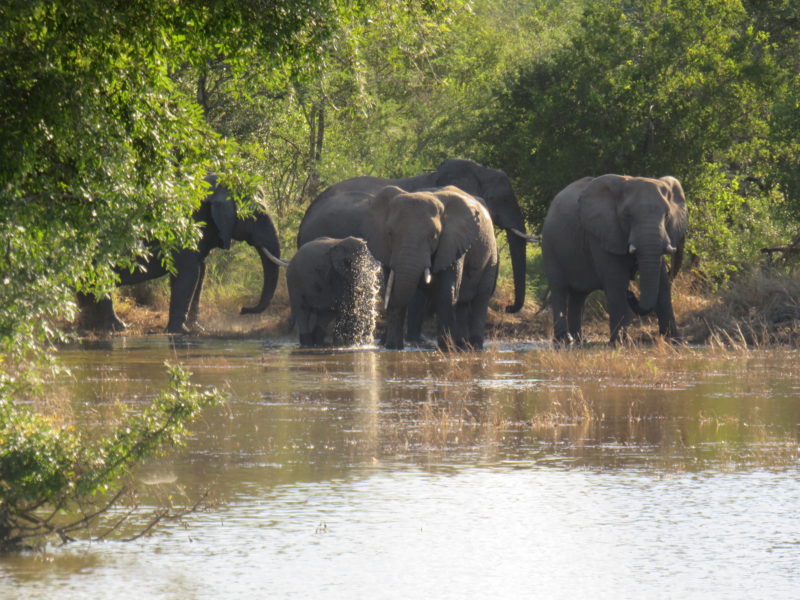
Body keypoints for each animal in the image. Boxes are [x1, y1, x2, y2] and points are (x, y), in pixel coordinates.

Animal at [78, 174, 282, 334]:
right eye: (258, 214)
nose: (243, 309)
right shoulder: (185, 227)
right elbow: (188, 272)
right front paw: (180, 331)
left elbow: (201, 270)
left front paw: (197, 328)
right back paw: (118, 327)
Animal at [365, 185, 498, 350]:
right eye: (390, 233)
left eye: (433, 236)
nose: (386, 343)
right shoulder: (385, 247)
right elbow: (392, 288)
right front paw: (393, 347)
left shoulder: (452, 243)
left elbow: (446, 293)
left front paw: (446, 349)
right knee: (462, 303)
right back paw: (462, 346)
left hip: (491, 256)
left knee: (481, 298)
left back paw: (474, 347)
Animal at [541, 174, 688, 344]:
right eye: (627, 216)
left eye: (666, 215)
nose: (631, 294)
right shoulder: (601, 234)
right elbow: (616, 281)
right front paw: (619, 343)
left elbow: (662, 281)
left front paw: (676, 341)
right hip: (549, 246)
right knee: (559, 289)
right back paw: (563, 341)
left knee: (579, 295)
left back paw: (579, 341)